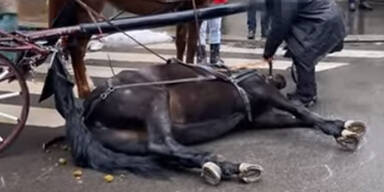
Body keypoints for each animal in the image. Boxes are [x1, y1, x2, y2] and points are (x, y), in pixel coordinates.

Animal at [40, 53, 368, 184]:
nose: (283, 78)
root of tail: (88, 106)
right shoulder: (261, 91)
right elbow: (300, 111)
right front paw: (339, 129)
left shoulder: (261, 117)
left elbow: (297, 119)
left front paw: (339, 128)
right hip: (155, 98)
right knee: (163, 146)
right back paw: (226, 165)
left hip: (131, 141)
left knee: (169, 154)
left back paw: (224, 166)